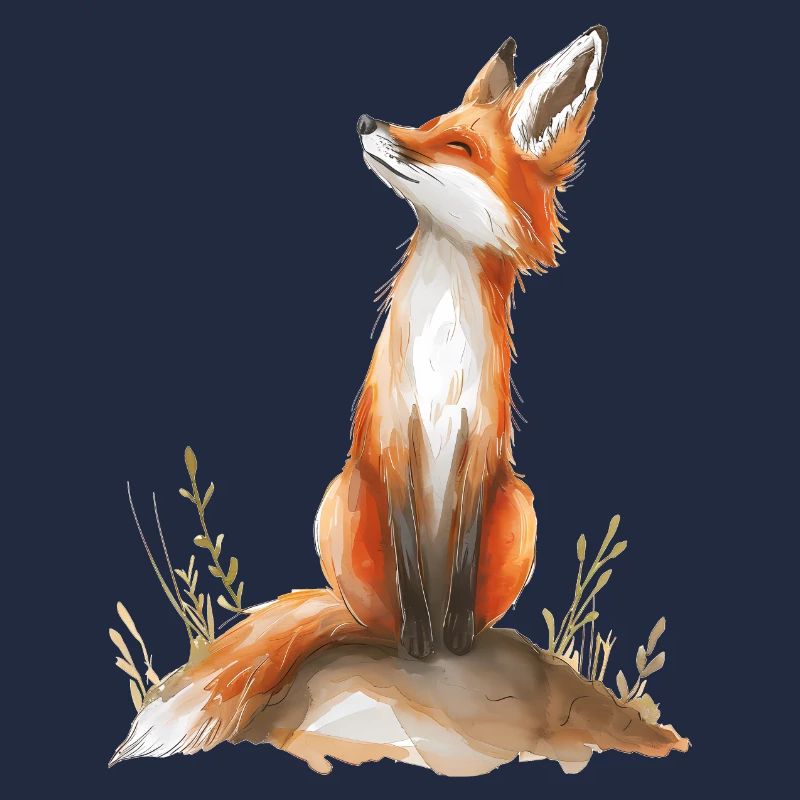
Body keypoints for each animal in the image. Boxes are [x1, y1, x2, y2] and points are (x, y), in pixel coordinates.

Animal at [112, 26, 608, 763]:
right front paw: (421, 647)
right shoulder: (394, 442)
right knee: (372, 619)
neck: (440, 356)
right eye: (428, 123)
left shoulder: (478, 453)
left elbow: (459, 572)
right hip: (342, 503)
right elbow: (409, 572)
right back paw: (392, 638)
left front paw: (453, 644)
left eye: (458, 146)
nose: (368, 121)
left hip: (519, 506)